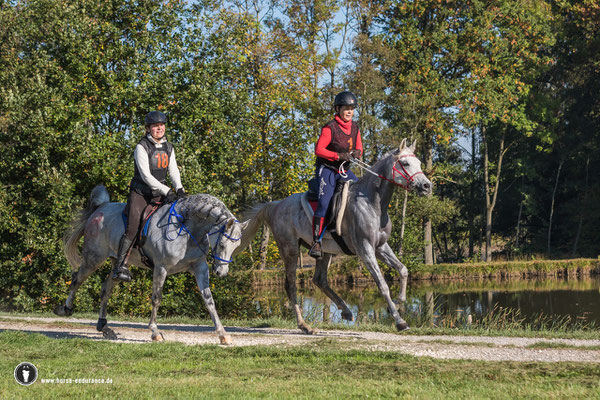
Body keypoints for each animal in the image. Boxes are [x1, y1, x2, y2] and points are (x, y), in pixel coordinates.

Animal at [55, 184, 243, 344]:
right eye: (222, 244)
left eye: (236, 247)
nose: (221, 273)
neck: (186, 228)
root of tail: (101, 208)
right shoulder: (161, 268)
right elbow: (156, 298)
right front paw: (155, 332)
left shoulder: (200, 267)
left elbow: (209, 299)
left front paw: (223, 334)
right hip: (93, 258)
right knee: (77, 280)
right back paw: (65, 309)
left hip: (117, 264)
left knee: (105, 289)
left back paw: (105, 327)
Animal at [238, 139, 432, 332]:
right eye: (405, 163)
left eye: (419, 163)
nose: (426, 186)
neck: (371, 202)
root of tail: (277, 205)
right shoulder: (365, 249)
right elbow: (382, 284)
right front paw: (399, 320)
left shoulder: (380, 247)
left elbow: (403, 270)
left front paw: (397, 303)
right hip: (290, 249)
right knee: (291, 285)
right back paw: (304, 325)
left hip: (324, 251)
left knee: (320, 280)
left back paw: (346, 311)